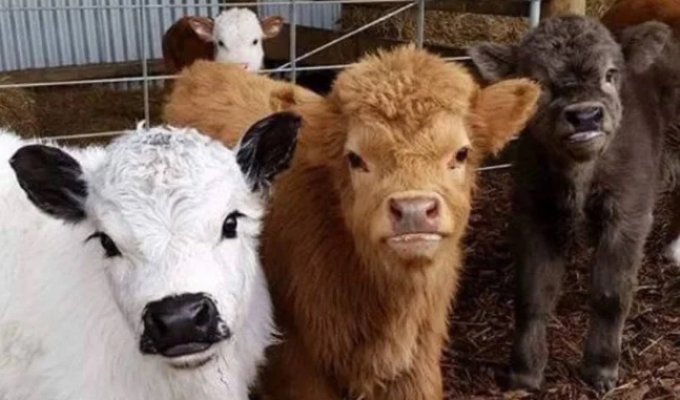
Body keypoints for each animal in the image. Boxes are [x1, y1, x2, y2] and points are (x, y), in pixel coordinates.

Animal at [469, 15, 680, 392]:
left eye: (610, 74)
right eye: (538, 81)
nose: (585, 117)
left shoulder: (628, 215)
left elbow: (611, 295)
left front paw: (601, 369)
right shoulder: (534, 213)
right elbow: (532, 294)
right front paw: (525, 372)